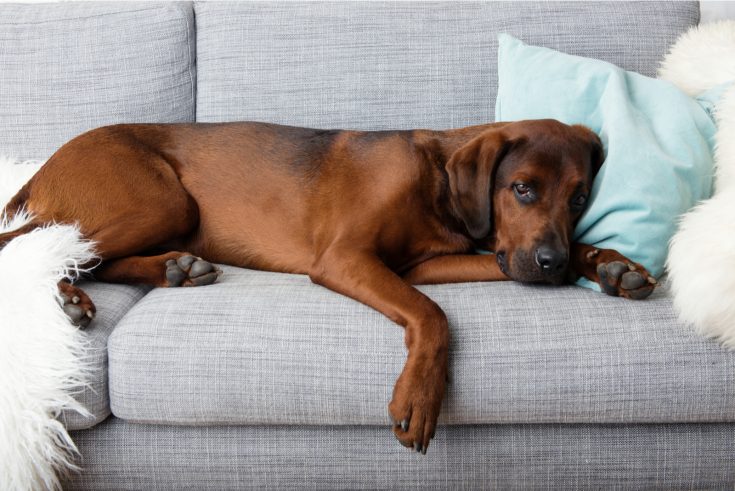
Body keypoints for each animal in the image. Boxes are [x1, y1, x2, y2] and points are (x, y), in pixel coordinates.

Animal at [0, 119, 656, 454]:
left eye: (578, 198)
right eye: (521, 188)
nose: (549, 259)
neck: (436, 184)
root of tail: (48, 163)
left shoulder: (429, 263)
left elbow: (465, 280)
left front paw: (608, 264)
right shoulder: (345, 259)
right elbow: (433, 315)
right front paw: (420, 397)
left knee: (93, 255)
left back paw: (174, 270)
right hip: (161, 199)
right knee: (44, 243)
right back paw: (69, 295)